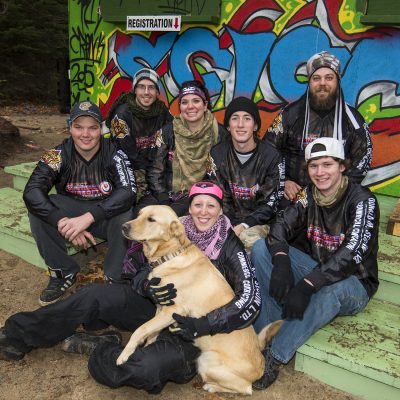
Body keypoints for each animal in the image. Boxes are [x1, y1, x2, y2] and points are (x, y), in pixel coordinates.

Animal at [117, 206, 282, 394]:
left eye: (151, 219)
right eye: (139, 214)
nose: (124, 227)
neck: (170, 255)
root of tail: (261, 362)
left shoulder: (172, 312)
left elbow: (140, 329)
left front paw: (124, 355)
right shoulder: (160, 306)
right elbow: (151, 332)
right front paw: (145, 346)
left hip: (206, 360)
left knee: (245, 389)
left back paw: (211, 386)